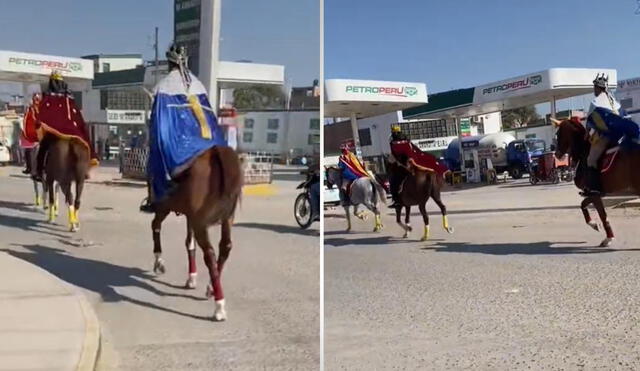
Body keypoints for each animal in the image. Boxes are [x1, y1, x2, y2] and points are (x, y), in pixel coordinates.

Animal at [150, 147, 242, 322]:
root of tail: (216, 151)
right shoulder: (190, 216)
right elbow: (189, 243)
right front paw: (192, 277)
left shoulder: (164, 207)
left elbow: (156, 226)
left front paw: (159, 261)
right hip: (226, 218)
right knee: (224, 247)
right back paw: (211, 288)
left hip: (199, 222)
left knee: (209, 254)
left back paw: (219, 306)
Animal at [552, 117, 640, 248]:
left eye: (559, 134)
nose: (557, 154)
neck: (583, 152)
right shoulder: (593, 194)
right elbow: (583, 205)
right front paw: (594, 225)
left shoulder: (594, 194)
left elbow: (602, 214)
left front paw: (608, 237)